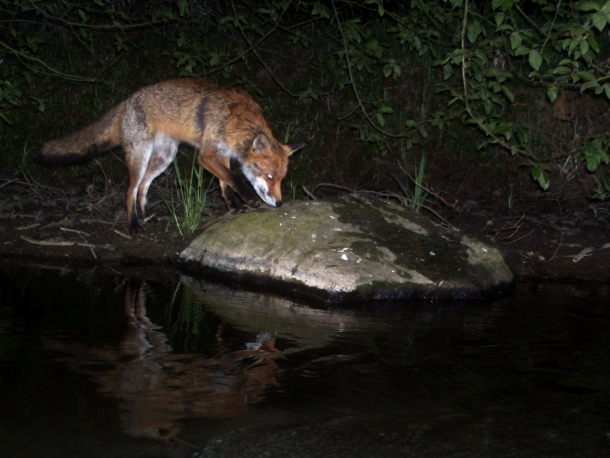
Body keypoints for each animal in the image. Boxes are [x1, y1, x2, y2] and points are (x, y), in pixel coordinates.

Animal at [38, 77, 304, 234]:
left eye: (281, 179)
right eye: (269, 177)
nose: (280, 203)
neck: (233, 119)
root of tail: (128, 100)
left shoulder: (223, 154)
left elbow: (225, 183)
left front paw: (234, 206)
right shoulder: (206, 156)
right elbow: (234, 178)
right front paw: (248, 199)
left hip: (164, 158)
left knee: (143, 187)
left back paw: (146, 215)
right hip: (141, 156)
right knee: (130, 191)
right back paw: (134, 225)